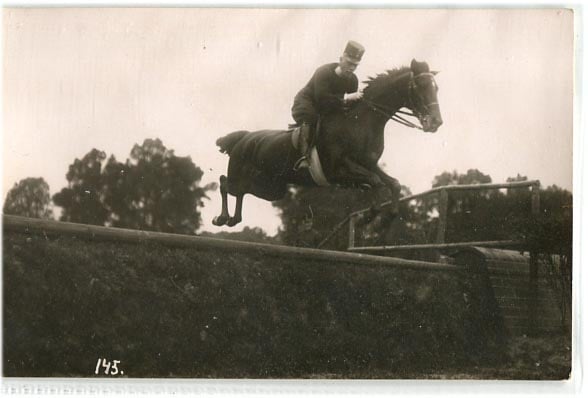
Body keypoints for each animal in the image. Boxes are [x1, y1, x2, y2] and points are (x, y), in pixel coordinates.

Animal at [214, 59, 444, 227]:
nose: (436, 122)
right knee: (226, 183)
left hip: (271, 188)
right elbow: (376, 182)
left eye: (437, 88)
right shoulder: (339, 170)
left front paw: (385, 219)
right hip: (247, 177)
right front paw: (368, 218)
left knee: (241, 190)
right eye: (420, 86)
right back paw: (222, 218)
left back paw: (233, 219)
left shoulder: (368, 165)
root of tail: (242, 139)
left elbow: (392, 183)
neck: (361, 122)